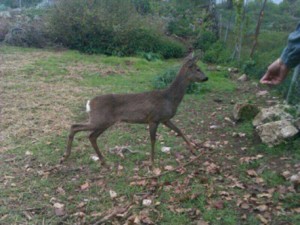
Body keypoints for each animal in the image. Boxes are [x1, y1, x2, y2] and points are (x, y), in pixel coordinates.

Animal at [59, 54, 207, 167]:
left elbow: (179, 130)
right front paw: (152, 162)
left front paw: (193, 150)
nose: (206, 78)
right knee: (76, 127)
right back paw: (66, 156)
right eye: (198, 69)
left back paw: (101, 160)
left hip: (104, 122)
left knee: (90, 135)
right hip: (100, 119)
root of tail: (89, 103)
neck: (169, 98)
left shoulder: (165, 119)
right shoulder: (153, 118)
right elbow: (153, 140)